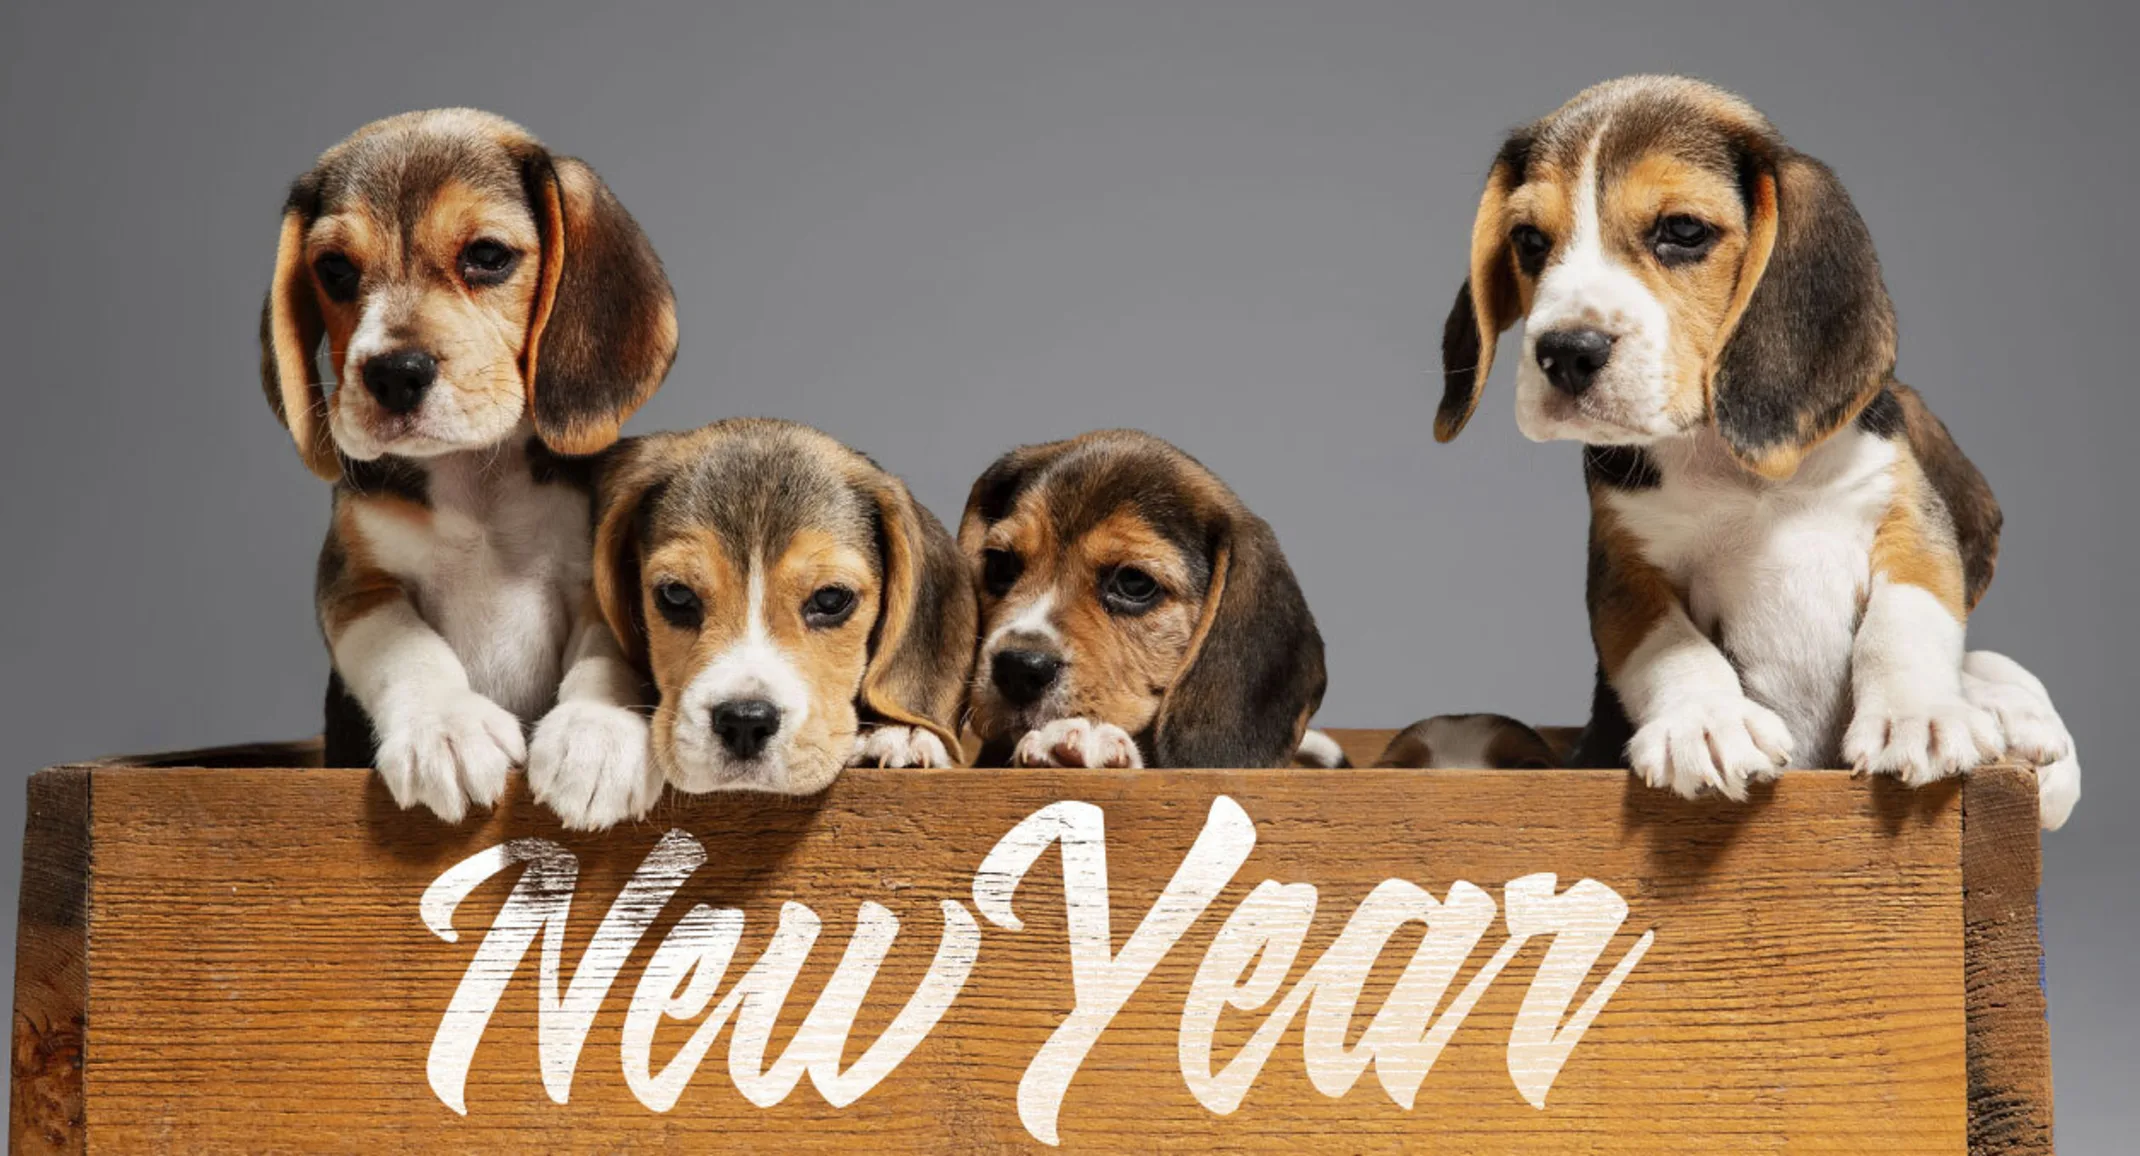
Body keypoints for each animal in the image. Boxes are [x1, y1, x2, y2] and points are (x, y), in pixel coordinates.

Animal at [261, 108, 676, 826]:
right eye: (335, 269)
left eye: (487, 256)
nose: (394, 374)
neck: (475, 478)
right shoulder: (355, 584)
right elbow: (405, 646)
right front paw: (445, 728)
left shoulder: (598, 579)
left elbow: (605, 656)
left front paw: (597, 733)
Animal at [1429, 74, 2080, 830]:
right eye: (1530, 241)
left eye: (1683, 231)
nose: (1565, 352)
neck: (1738, 472)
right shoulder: (1625, 565)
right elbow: (1668, 643)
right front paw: (1708, 722)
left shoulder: (1907, 514)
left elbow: (1906, 615)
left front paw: (1918, 716)